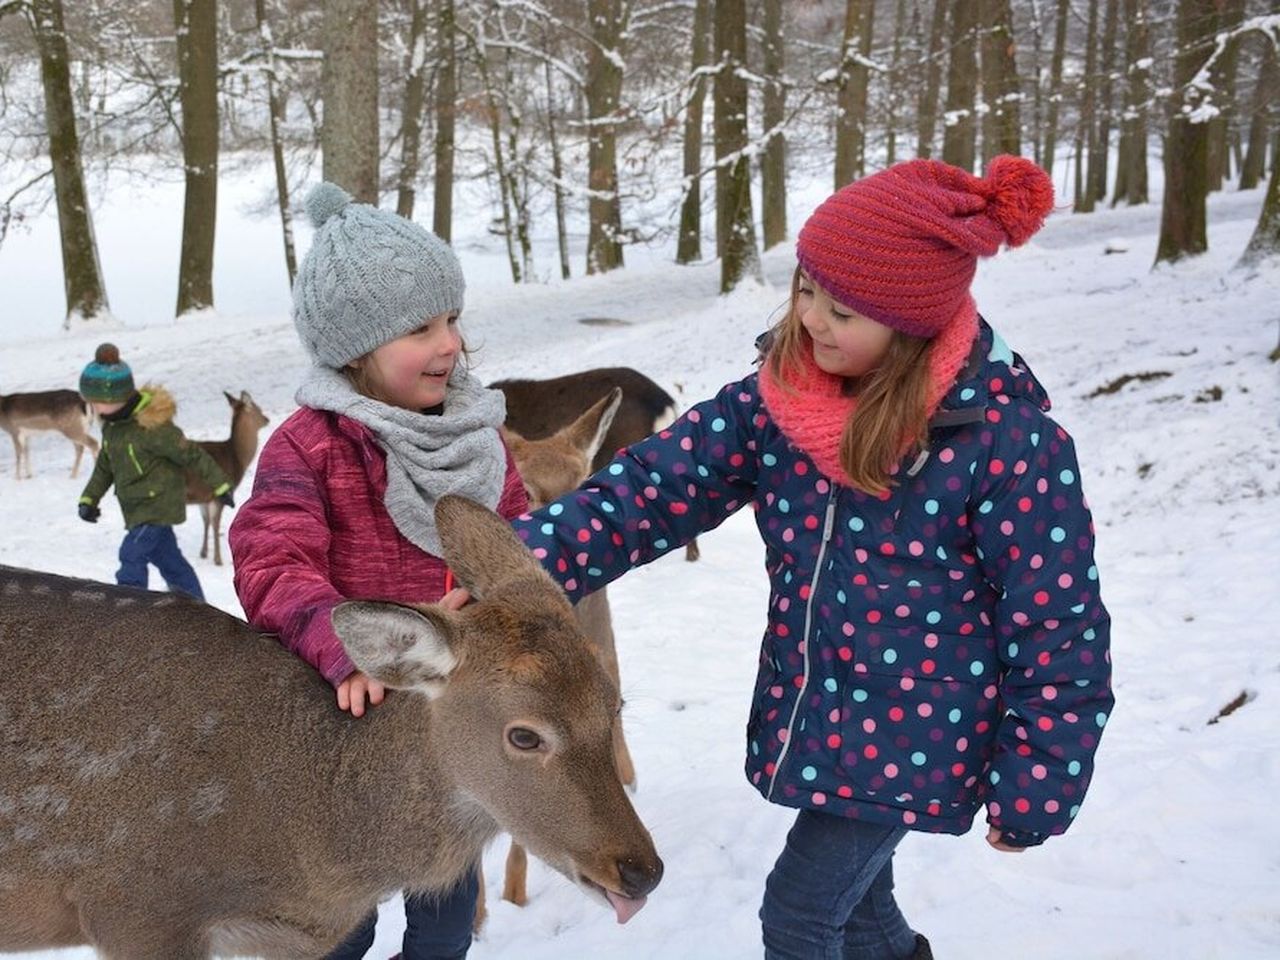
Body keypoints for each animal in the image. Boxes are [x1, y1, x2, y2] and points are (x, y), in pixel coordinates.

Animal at [185, 391, 270, 568]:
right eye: (257, 408)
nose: (266, 419)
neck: (236, 459)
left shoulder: (204, 497)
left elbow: (206, 522)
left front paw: (203, 553)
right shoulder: (220, 494)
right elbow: (215, 524)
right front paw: (218, 560)